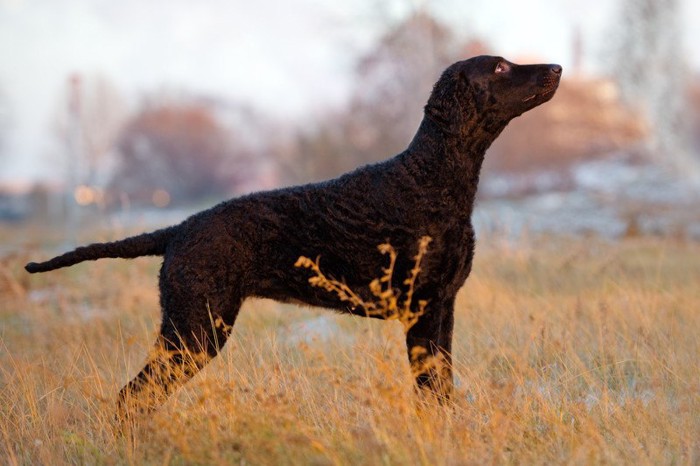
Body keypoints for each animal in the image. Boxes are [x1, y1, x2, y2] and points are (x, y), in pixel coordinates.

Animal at [26, 55, 564, 416]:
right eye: (499, 67)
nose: (557, 67)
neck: (429, 177)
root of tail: (179, 228)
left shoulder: (443, 307)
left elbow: (443, 390)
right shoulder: (423, 309)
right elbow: (433, 393)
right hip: (195, 329)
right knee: (130, 398)